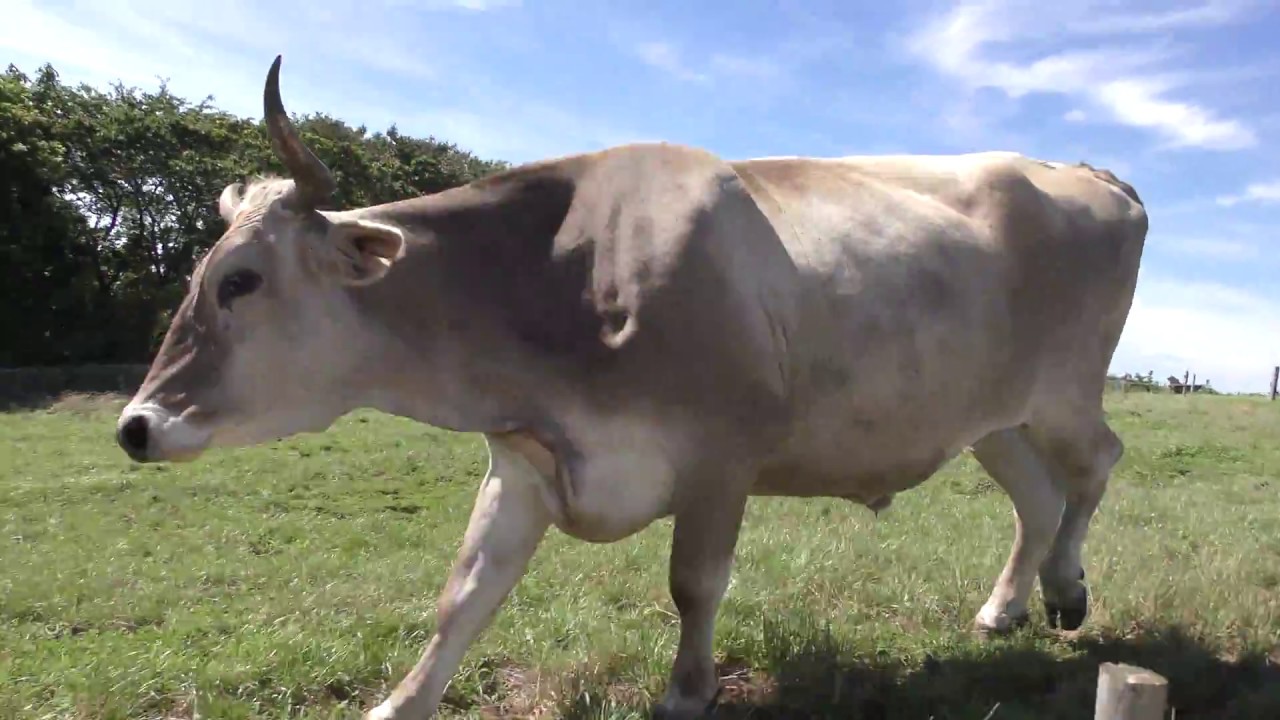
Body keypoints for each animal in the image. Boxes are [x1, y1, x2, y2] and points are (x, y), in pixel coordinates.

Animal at [113, 55, 1147, 720]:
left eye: (240, 281)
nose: (135, 425)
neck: (563, 276)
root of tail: (1089, 173)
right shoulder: (525, 460)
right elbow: (464, 594)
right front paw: (398, 703)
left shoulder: (723, 457)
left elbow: (695, 583)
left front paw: (686, 693)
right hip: (989, 416)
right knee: (1035, 496)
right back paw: (1009, 606)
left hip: (1063, 390)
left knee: (1097, 463)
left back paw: (1065, 587)